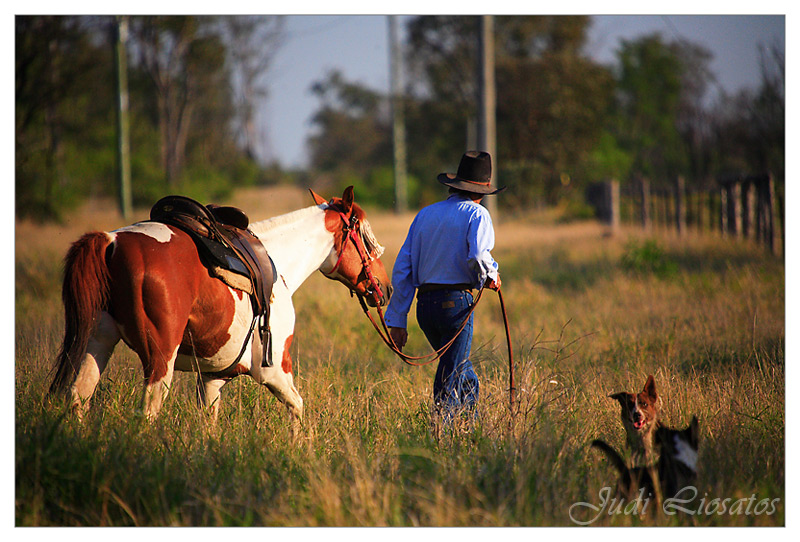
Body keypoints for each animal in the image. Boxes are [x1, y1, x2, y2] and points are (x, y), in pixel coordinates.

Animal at [48, 189, 392, 428]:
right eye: (367, 238)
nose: (385, 289)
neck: (277, 261)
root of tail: (112, 242)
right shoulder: (275, 370)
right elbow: (298, 408)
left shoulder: (212, 378)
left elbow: (209, 425)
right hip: (160, 358)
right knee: (147, 413)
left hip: (97, 341)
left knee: (78, 398)